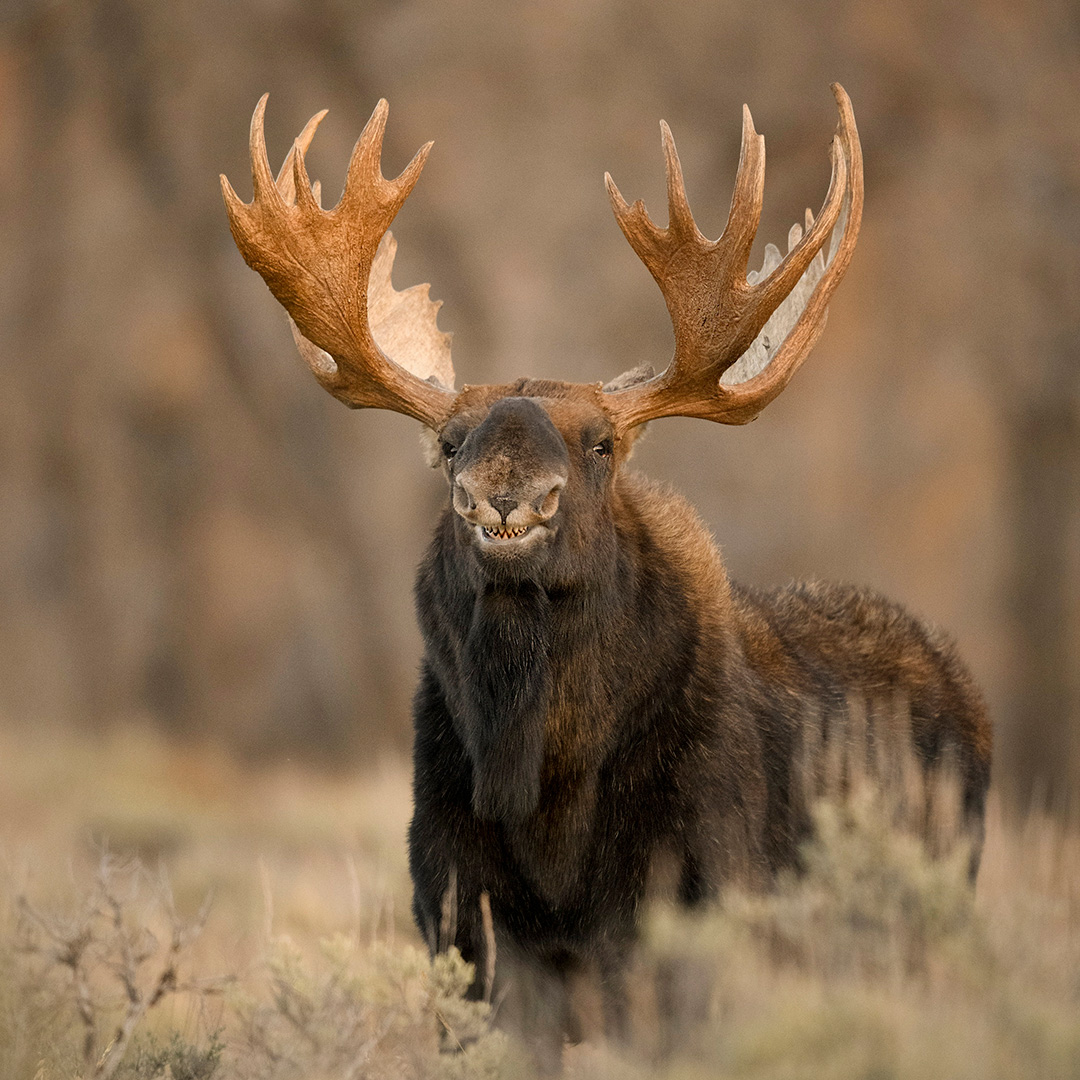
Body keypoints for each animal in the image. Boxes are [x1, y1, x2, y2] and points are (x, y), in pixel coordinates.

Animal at [222, 84, 991, 1060]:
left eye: (601, 443)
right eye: (449, 442)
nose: (506, 498)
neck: (548, 793)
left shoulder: (696, 908)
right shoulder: (462, 923)